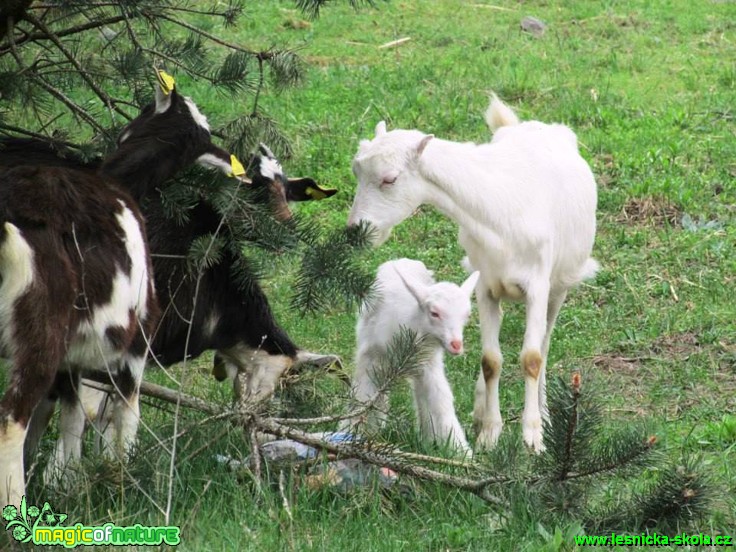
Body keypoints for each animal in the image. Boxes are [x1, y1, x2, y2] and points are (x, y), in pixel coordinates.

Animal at [342, 260, 480, 454]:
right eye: (434, 313)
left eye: (467, 315)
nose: (456, 345)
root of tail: (402, 260)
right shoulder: (370, 357)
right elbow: (362, 395)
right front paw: (349, 432)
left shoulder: (429, 363)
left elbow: (441, 399)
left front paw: (461, 450)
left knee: (420, 398)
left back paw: (427, 439)